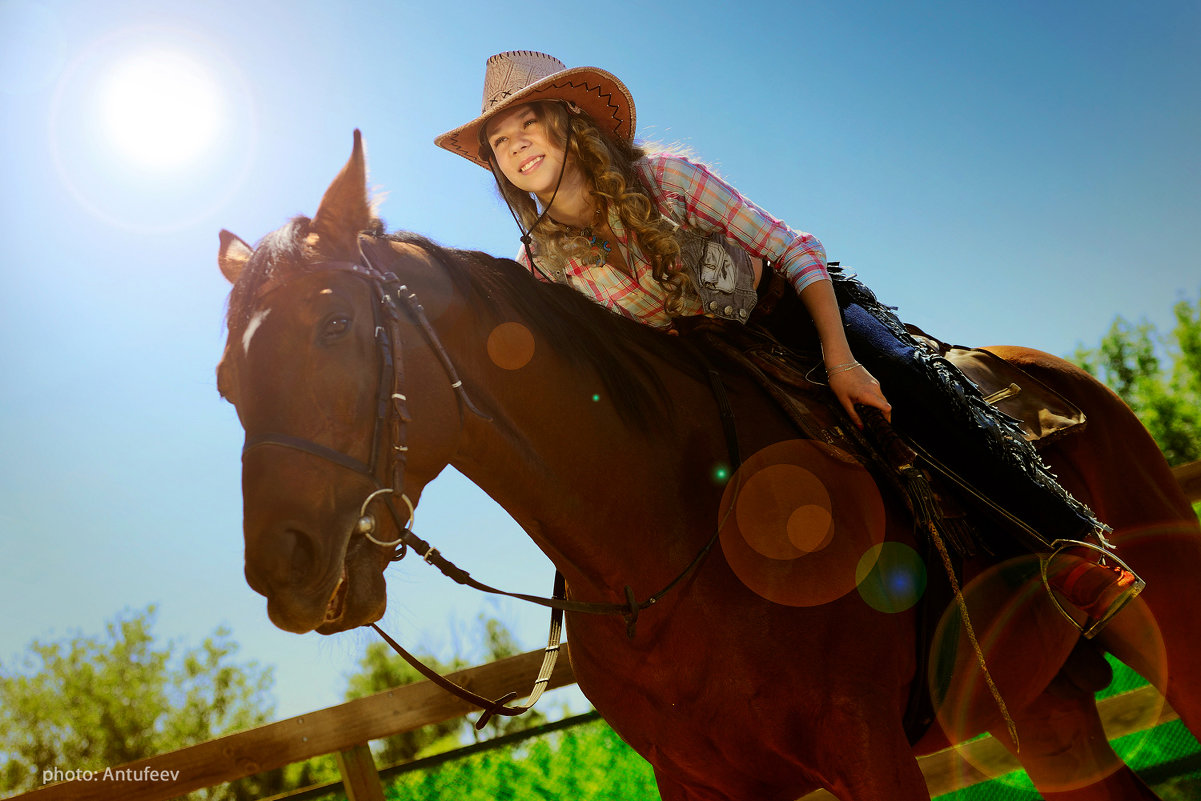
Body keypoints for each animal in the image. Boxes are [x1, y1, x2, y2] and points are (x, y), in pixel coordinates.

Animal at [216, 133, 1201, 801]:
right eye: (227, 381)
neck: (663, 537)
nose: (282, 568)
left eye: (334, 324)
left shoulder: (864, 744)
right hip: (1045, 711)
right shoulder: (698, 778)